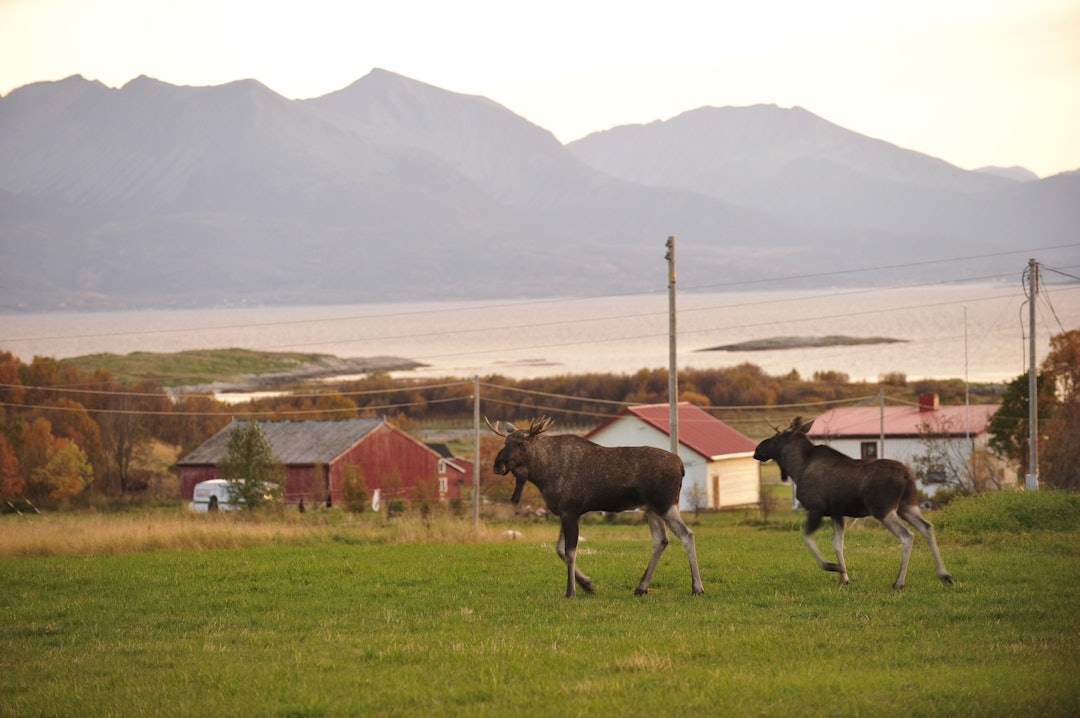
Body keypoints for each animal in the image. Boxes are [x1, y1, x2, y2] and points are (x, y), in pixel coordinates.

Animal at [488, 414, 704, 600]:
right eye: (505, 442)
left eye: (521, 443)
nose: (498, 465)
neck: (542, 475)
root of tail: (681, 466)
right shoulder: (567, 512)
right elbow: (559, 549)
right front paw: (588, 584)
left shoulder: (570, 510)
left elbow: (569, 552)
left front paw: (571, 591)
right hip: (651, 509)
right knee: (661, 540)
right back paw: (641, 587)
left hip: (665, 503)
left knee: (687, 534)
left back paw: (697, 587)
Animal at [756, 414, 950, 587]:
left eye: (778, 436)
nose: (758, 449)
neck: (796, 469)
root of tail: (906, 475)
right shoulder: (836, 513)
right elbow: (837, 545)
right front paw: (844, 577)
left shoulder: (816, 509)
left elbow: (807, 538)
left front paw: (832, 566)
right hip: (907, 505)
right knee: (927, 527)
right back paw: (944, 575)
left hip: (883, 509)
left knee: (908, 536)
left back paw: (899, 582)